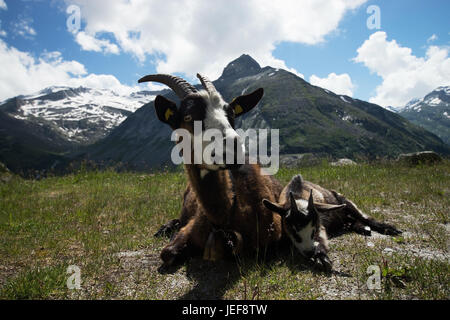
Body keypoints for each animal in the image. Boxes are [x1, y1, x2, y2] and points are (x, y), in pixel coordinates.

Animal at [139, 74, 284, 266]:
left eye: (231, 114)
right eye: (188, 117)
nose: (232, 147)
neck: (224, 217)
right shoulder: (189, 228)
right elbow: (167, 253)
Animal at [262, 174, 402, 272]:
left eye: (314, 231)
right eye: (294, 231)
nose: (310, 252)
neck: (297, 194)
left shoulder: (320, 223)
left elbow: (321, 238)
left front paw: (321, 257)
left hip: (345, 202)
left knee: (363, 217)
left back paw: (387, 228)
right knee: (352, 221)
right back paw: (362, 228)